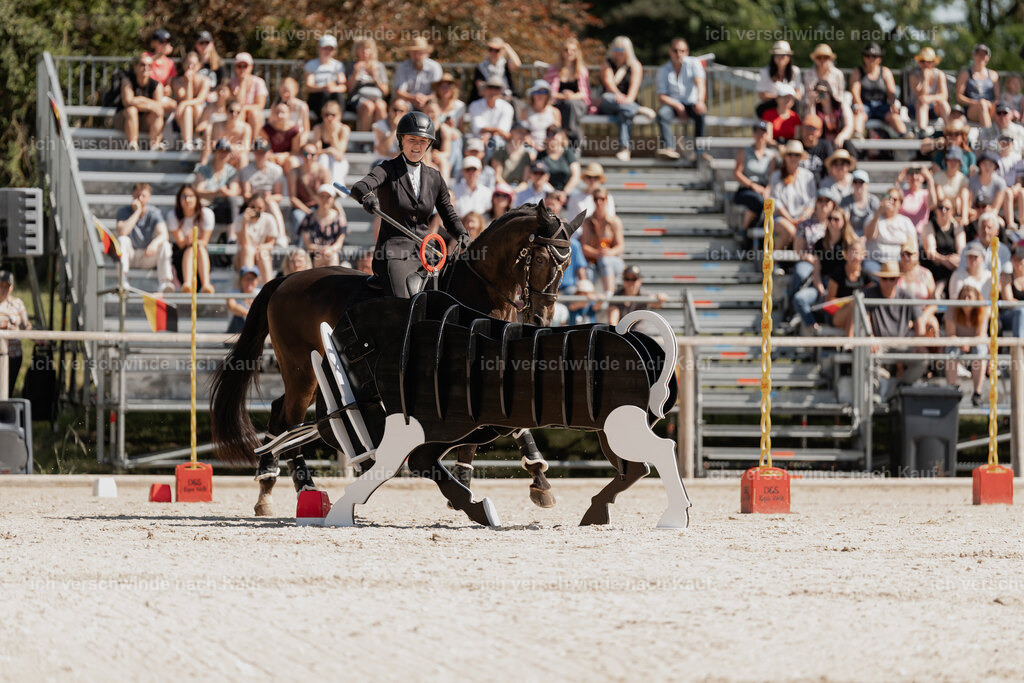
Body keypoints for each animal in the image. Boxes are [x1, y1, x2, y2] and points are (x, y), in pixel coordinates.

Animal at [210, 202, 580, 516]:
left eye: (566, 264)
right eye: (542, 260)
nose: (541, 318)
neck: (476, 293)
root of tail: (287, 279)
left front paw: (504, 478)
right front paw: (533, 478)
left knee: (280, 413)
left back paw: (267, 487)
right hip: (301, 369)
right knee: (289, 416)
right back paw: (305, 488)